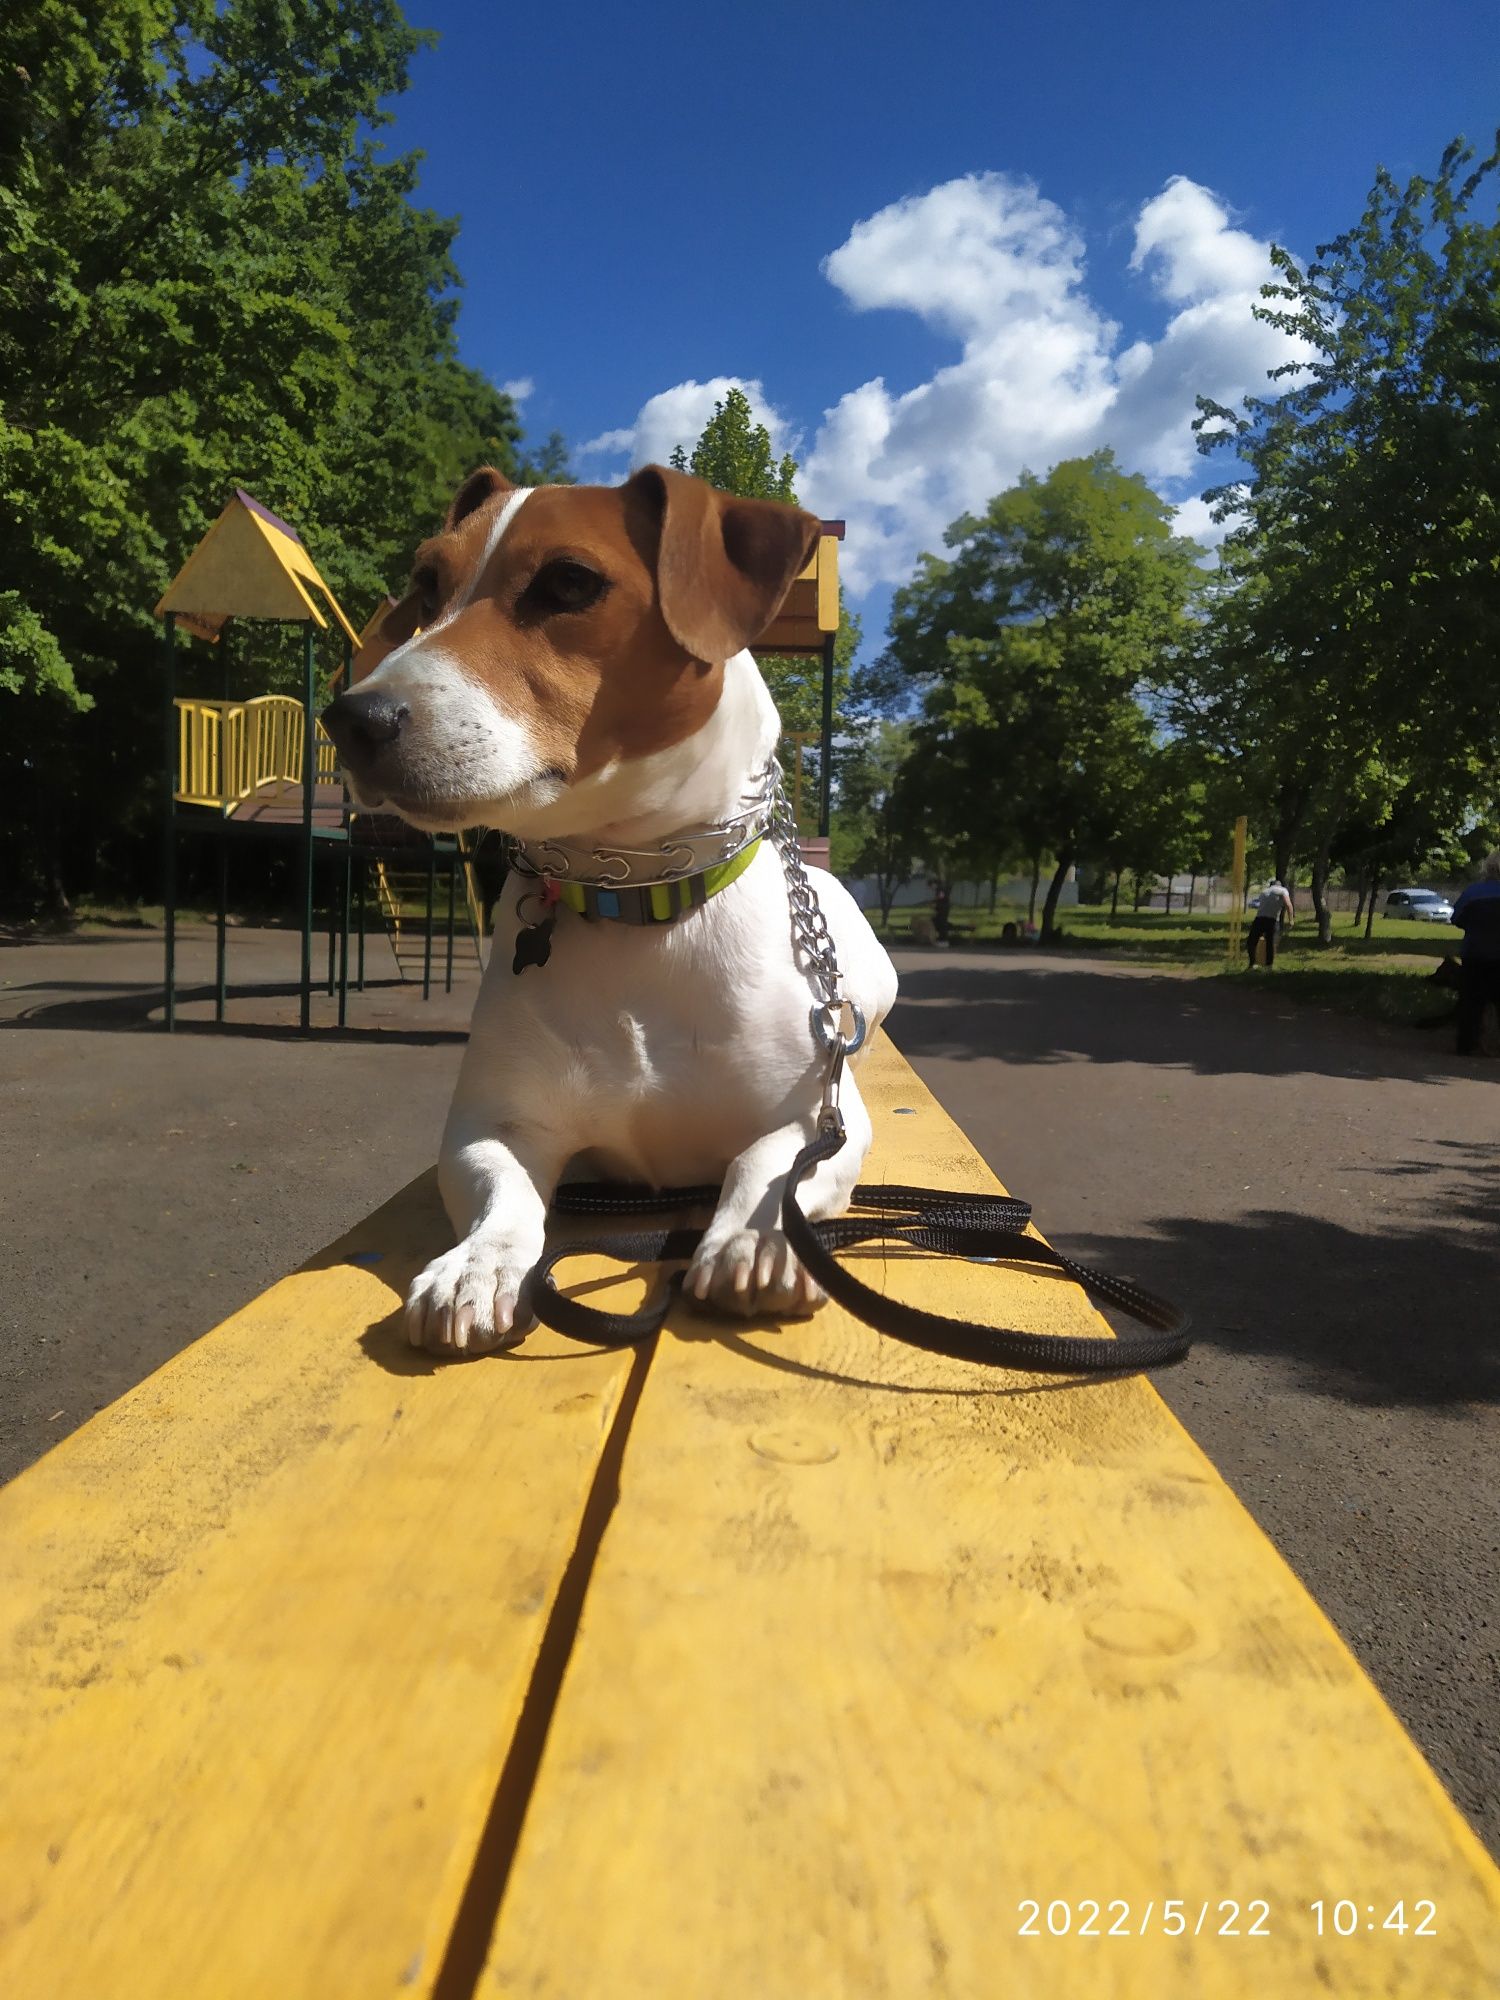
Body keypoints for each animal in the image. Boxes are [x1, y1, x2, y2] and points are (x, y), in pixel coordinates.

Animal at [324, 460, 900, 1352]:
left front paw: (757, 1237)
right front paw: (478, 1265)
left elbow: (770, 1166)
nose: (351, 718)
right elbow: (504, 1193)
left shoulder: (819, 1115)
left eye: (569, 582)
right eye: (426, 585)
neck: (637, 890)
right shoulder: (494, 1124)